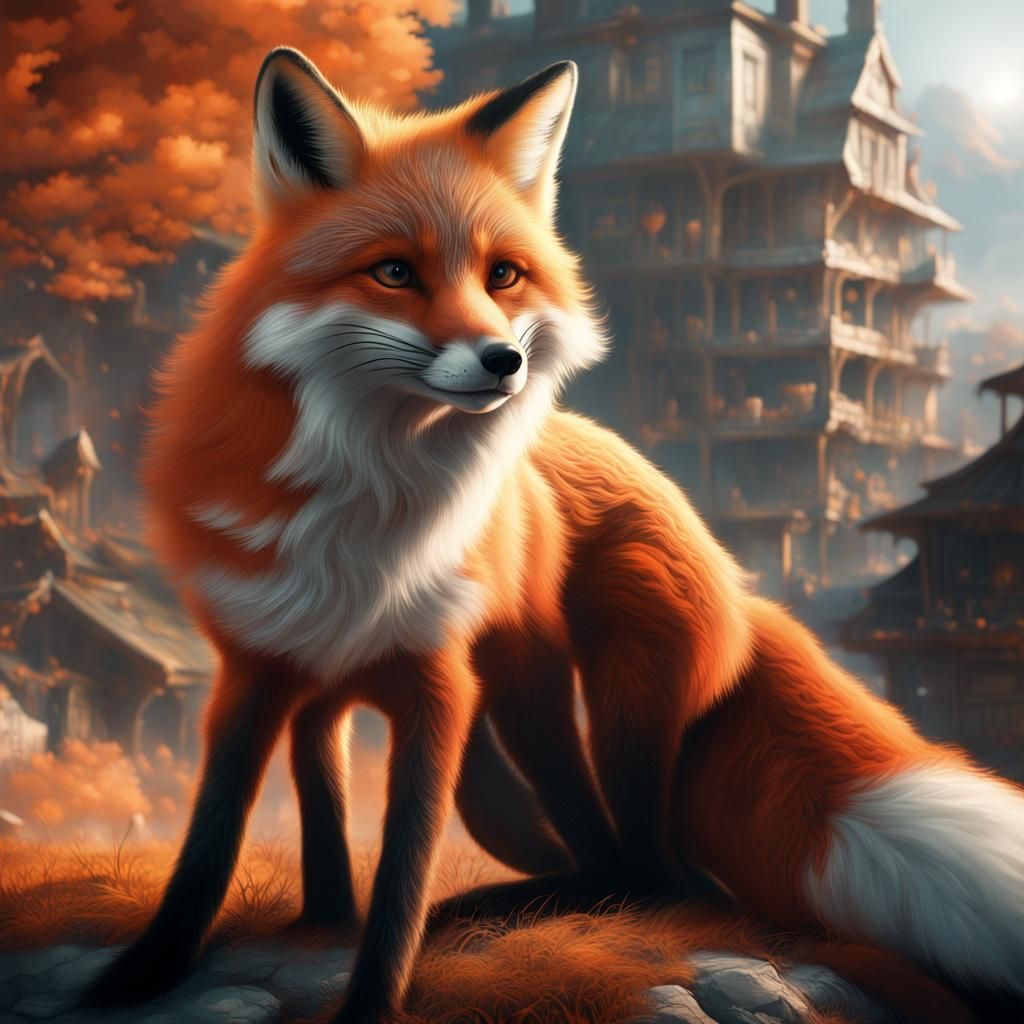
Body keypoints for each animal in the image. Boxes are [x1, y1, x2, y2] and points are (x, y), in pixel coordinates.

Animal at [82, 45, 1024, 1024]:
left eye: (503, 275)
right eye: (393, 273)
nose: (505, 360)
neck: (373, 496)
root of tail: (737, 574)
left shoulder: (440, 684)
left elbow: (403, 879)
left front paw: (375, 994)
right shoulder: (256, 666)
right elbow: (211, 839)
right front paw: (136, 977)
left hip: (591, 699)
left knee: (654, 870)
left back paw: (504, 907)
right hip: (491, 725)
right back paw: (371, 907)